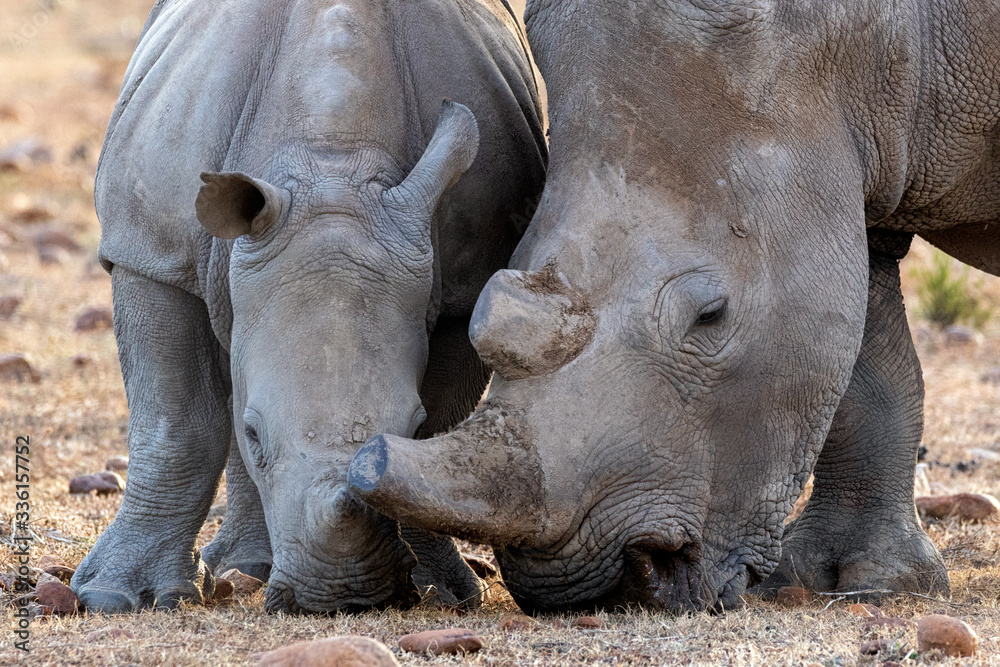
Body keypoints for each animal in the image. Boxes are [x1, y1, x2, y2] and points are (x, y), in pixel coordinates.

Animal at [72, 0, 545, 613]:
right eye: (255, 435)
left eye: (411, 424)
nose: (342, 596)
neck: (332, 166)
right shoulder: (151, 253)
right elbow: (174, 424)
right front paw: (114, 597)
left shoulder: (464, 287)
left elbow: (440, 431)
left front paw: (442, 592)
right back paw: (240, 570)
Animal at [349, 0, 1000, 612]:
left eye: (709, 317)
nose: (595, 591)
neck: (874, 36)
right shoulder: (857, 166)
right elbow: (869, 373)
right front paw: (854, 582)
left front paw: (874, 586)